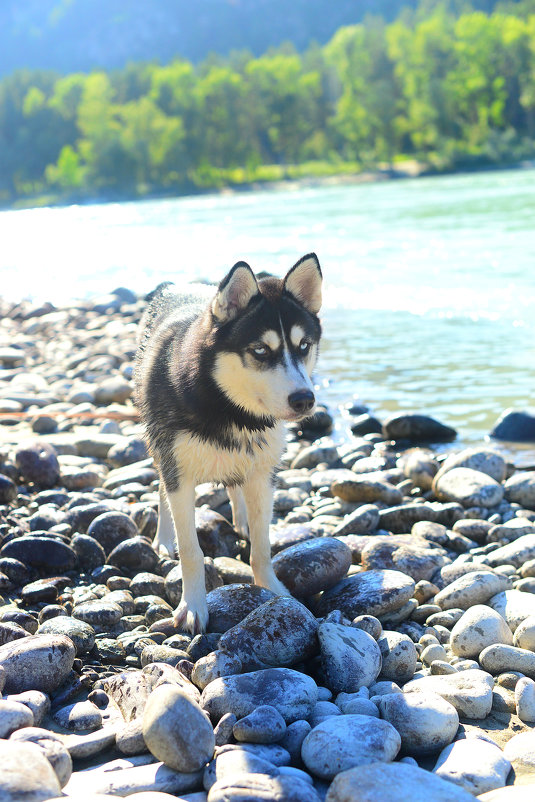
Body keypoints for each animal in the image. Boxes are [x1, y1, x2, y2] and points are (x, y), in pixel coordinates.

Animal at [136, 255, 324, 632]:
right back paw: (163, 537)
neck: (233, 411)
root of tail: (174, 285)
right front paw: (193, 605)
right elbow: (191, 551)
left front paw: (274, 591)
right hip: (159, 447)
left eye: (304, 346)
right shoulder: (179, 475)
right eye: (261, 350)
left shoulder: (264, 473)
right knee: (161, 488)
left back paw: (242, 517)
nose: (305, 400)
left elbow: (262, 547)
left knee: (239, 484)